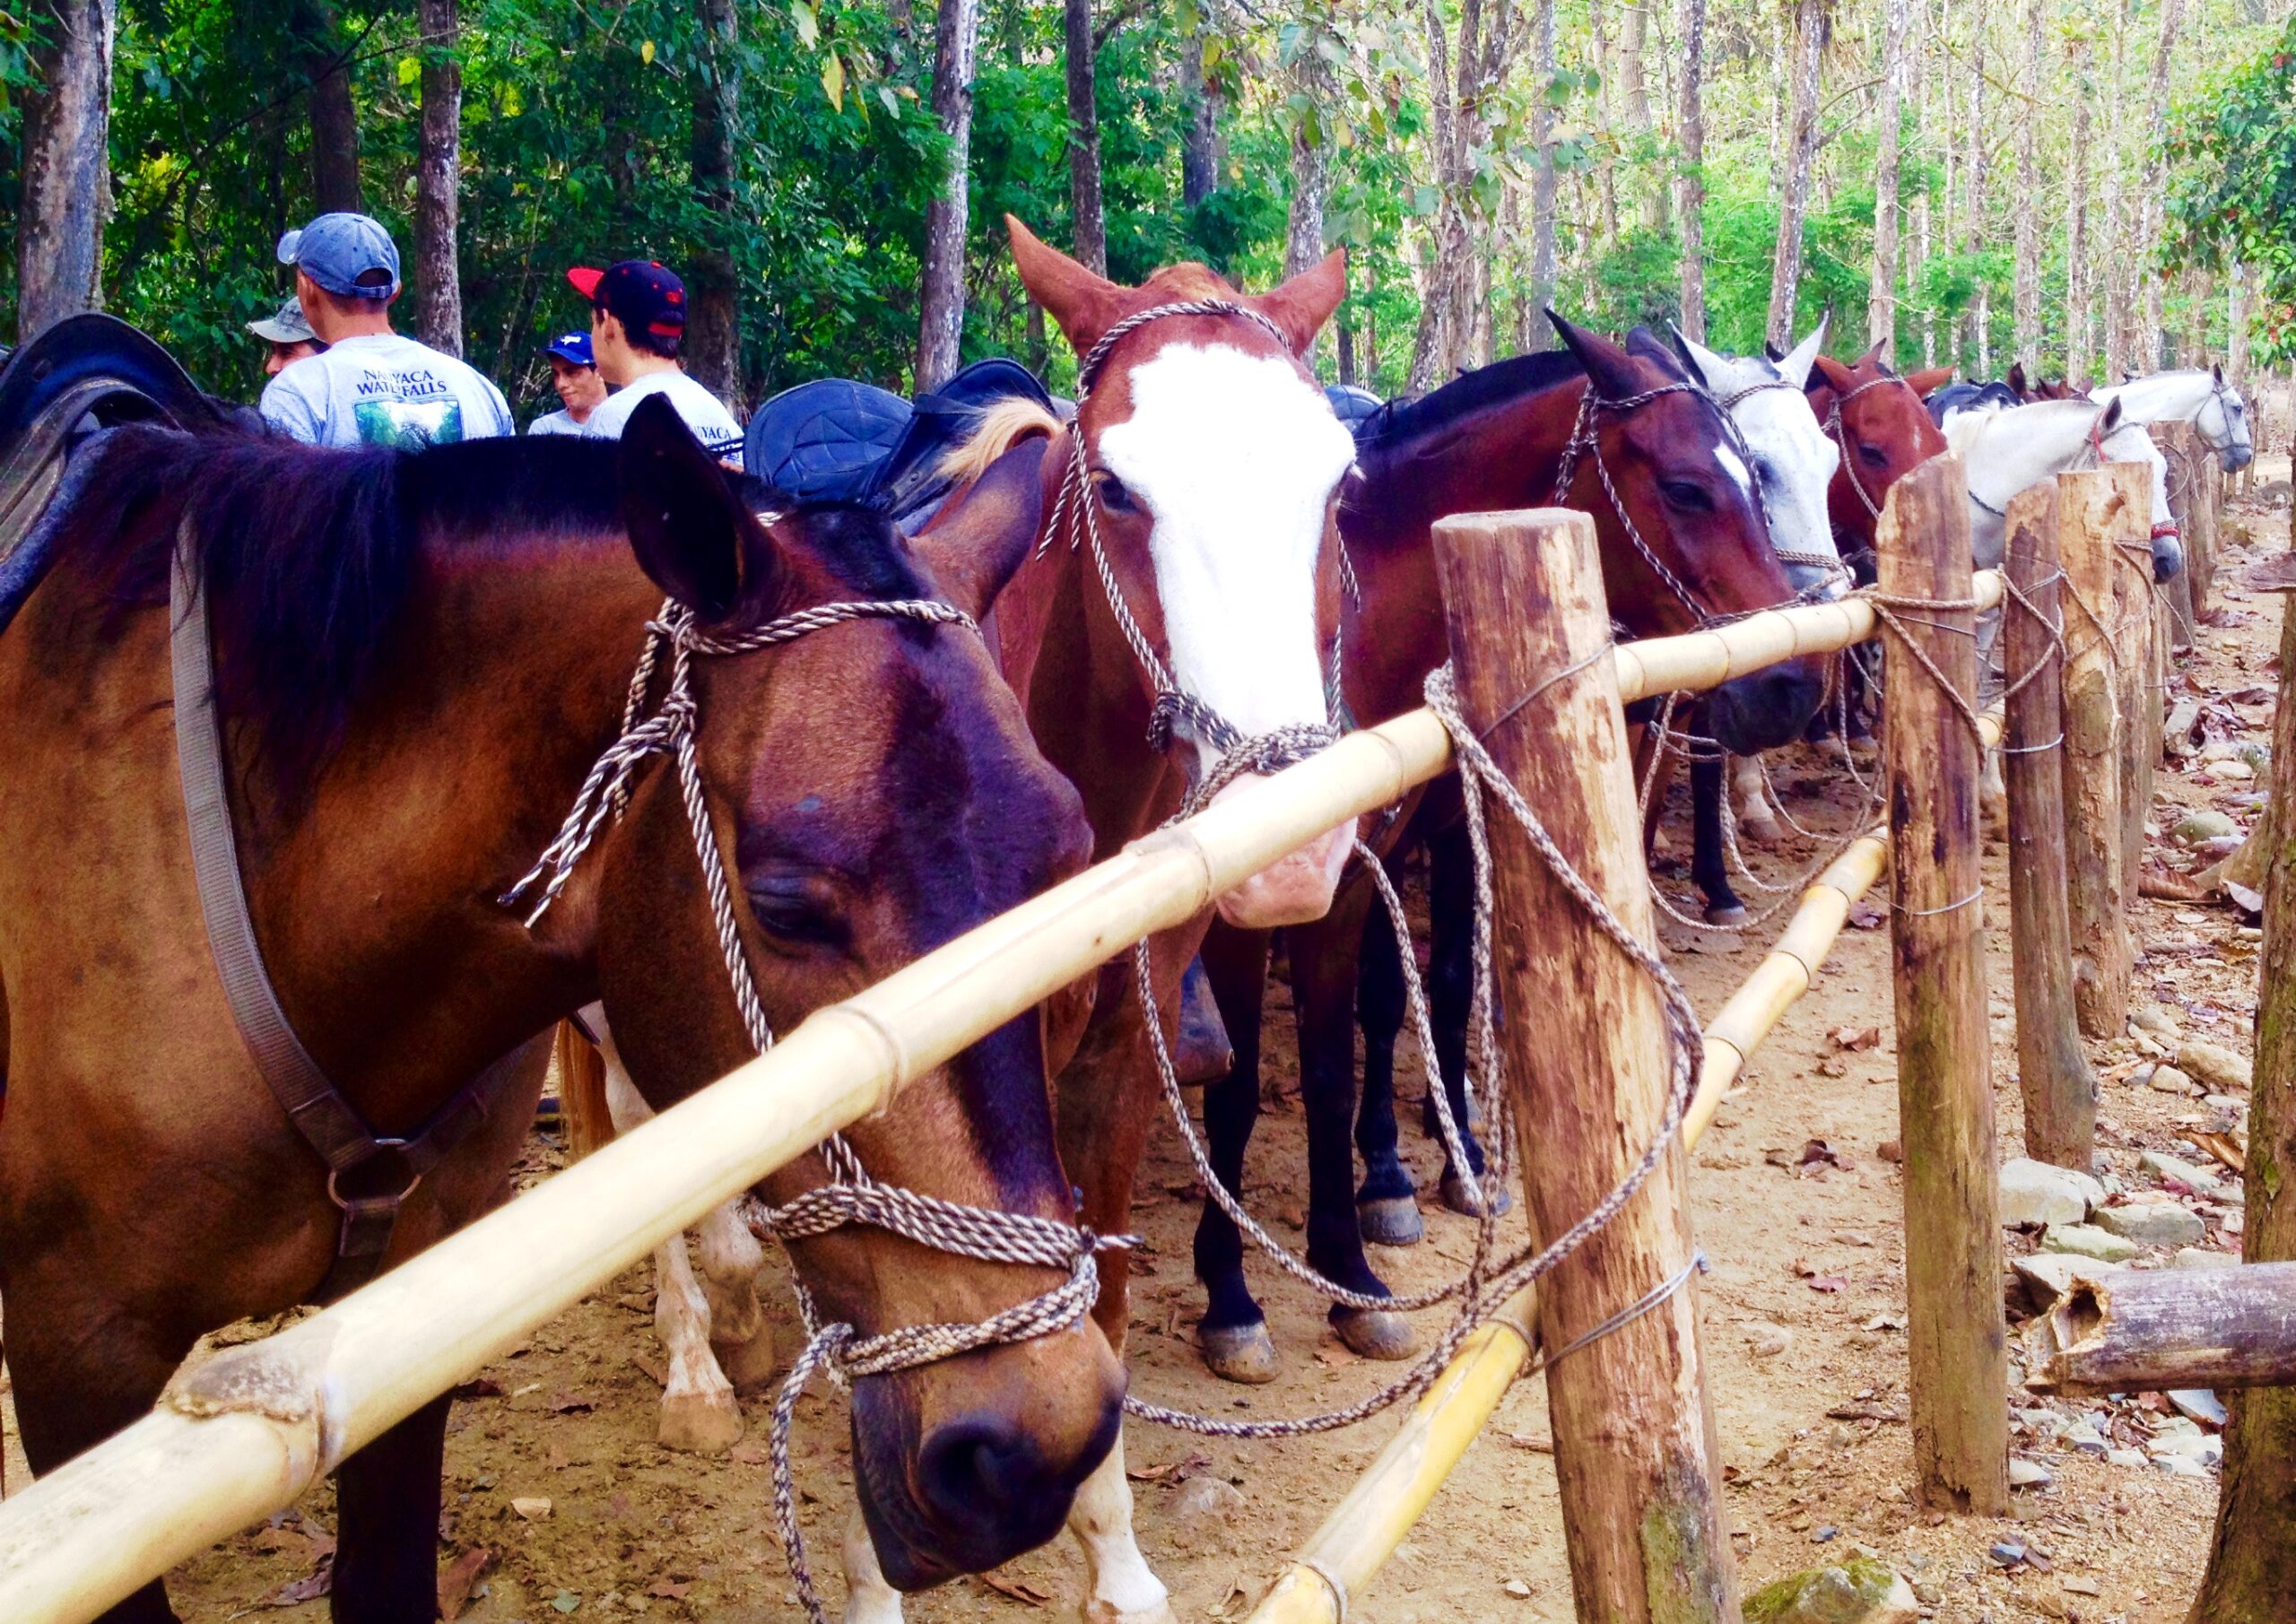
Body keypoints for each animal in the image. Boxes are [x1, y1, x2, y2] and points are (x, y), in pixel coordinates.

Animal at [1184, 321, 1827, 1396]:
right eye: (1690, 486)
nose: (1792, 684)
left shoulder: (1405, 847)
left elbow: (1382, 1020)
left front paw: (1384, 1225)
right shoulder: (1267, 900)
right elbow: (1258, 1078)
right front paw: (1237, 1292)